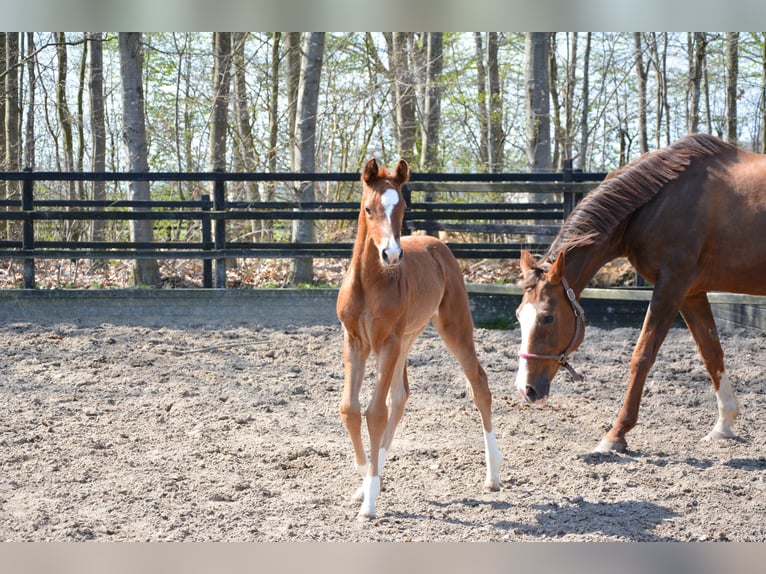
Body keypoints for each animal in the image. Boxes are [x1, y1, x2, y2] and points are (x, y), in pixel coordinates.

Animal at [340, 158, 500, 520]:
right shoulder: (354, 341)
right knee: (401, 397)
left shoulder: (387, 342)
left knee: (479, 383)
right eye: (368, 208)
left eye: (401, 207)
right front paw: (366, 484)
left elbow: (376, 413)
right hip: (408, 337)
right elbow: (350, 409)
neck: (369, 284)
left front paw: (369, 502)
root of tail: (437, 243)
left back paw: (493, 476)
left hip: (451, 327)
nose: (391, 254)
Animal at [516, 134, 766, 454]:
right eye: (519, 316)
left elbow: (642, 355)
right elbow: (711, 352)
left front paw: (616, 434)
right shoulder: (692, 293)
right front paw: (724, 425)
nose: (526, 389)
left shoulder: (671, 285)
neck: (660, 201)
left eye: (547, 318)